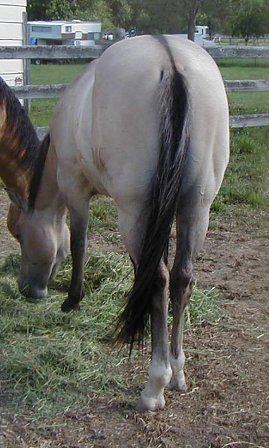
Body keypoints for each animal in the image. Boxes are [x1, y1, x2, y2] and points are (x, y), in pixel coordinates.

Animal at [7, 36, 228, 412]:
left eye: (21, 234)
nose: (27, 289)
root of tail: (170, 61)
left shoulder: (75, 188)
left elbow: (78, 241)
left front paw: (73, 300)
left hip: (135, 211)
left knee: (158, 278)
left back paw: (155, 385)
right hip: (196, 208)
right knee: (181, 278)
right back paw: (177, 370)